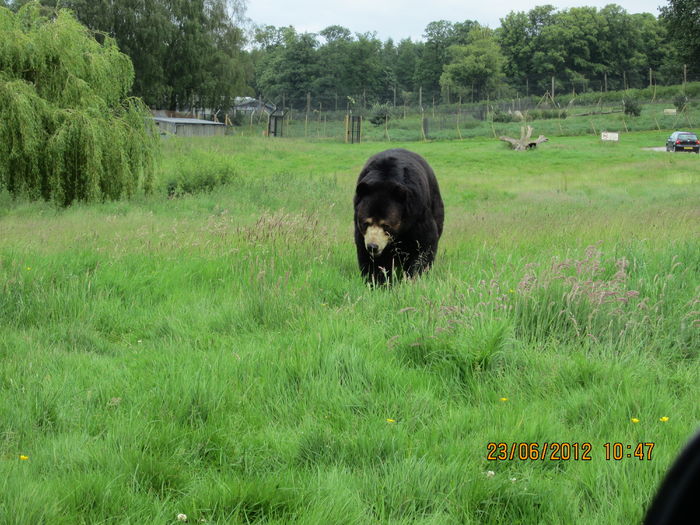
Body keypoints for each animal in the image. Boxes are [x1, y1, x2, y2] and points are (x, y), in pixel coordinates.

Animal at [352, 147, 446, 282]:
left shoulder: (417, 212)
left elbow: (424, 244)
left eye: (386, 225)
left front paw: (415, 276)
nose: (373, 246)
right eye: (366, 222)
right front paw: (376, 279)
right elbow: (365, 253)